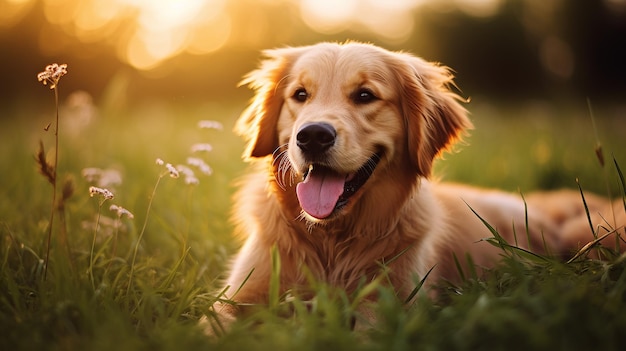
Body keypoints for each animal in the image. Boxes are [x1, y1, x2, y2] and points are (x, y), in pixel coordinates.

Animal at [207, 42, 620, 332]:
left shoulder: (393, 302)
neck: (332, 240)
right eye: (300, 95)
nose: (312, 136)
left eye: (365, 95)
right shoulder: (238, 297)